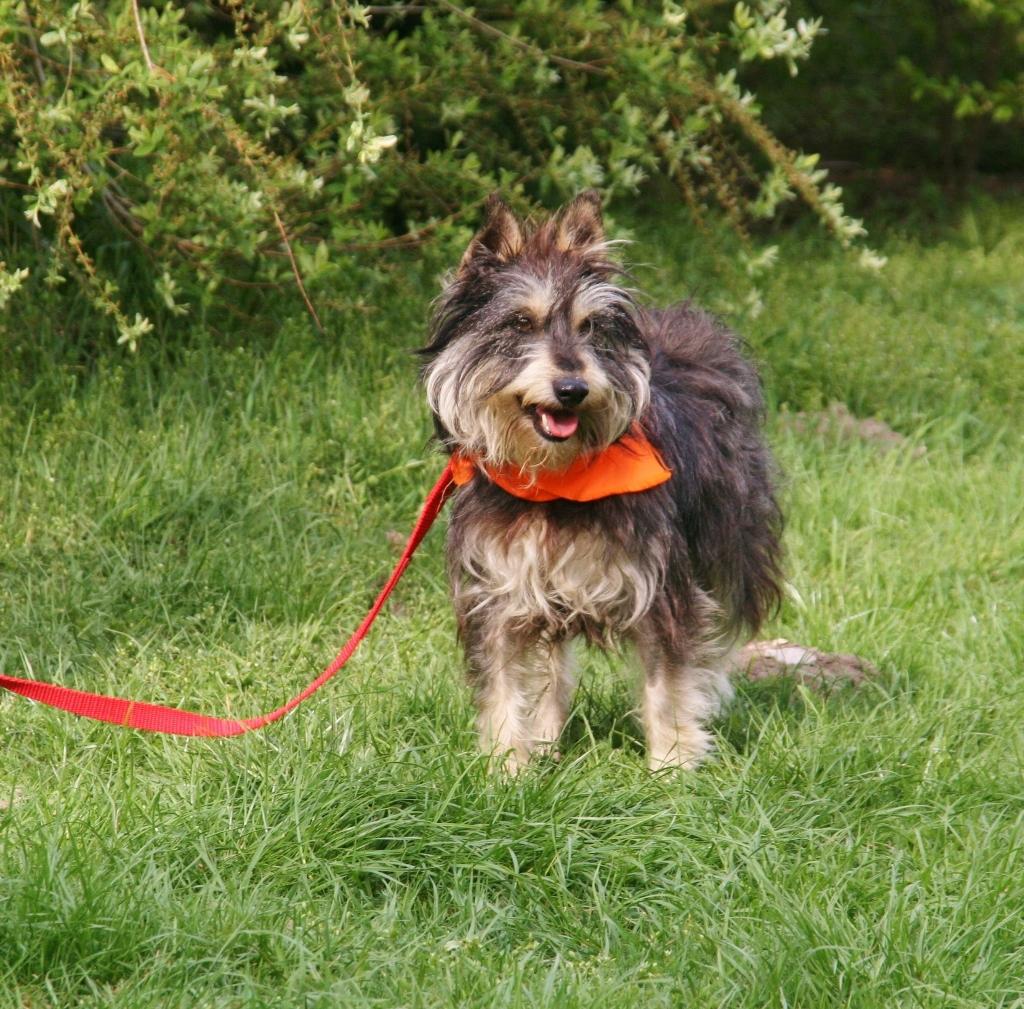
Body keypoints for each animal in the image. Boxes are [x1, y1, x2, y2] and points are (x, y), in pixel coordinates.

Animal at [419, 192, 783, 771]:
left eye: (590, 326)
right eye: (520, 322)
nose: (572, 388)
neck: (554, 482)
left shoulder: (663, 591)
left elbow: (668, 686)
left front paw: (673, 771)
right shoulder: (499, 595)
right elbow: (505, 690)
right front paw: (508, 770)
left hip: (732, 543)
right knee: (553, 669)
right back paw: (546, 742)